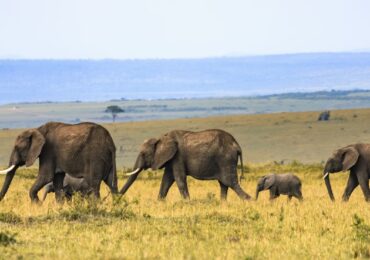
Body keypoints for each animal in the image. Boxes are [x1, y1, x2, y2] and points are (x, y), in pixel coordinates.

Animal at [119, 129, 251, 200]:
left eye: (143, 153)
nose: (116, 198)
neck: (161, 138)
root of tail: (237, 145)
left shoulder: (178, 156)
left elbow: (179, 179)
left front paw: (188, 202)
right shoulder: (171, 159)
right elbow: (166, 180)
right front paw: (159, 202)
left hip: (226, 160)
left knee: (230, 183)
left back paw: (249, 200)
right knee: (224, 184)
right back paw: (222, 203)